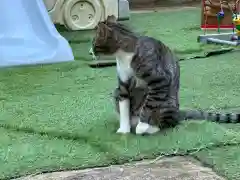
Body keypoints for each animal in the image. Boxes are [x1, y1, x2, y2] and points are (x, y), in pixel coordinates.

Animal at [90, 15, 240, 135]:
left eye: (93, 42)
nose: (90, 52)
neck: (124, 56)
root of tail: (179, 112)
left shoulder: (160, 80)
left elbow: (148, 106)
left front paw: (142, 126)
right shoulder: (122, 85)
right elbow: (124, 106)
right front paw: (124, 130)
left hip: (166, 103)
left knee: (168, 122)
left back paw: (150, 128)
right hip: (116, 93)